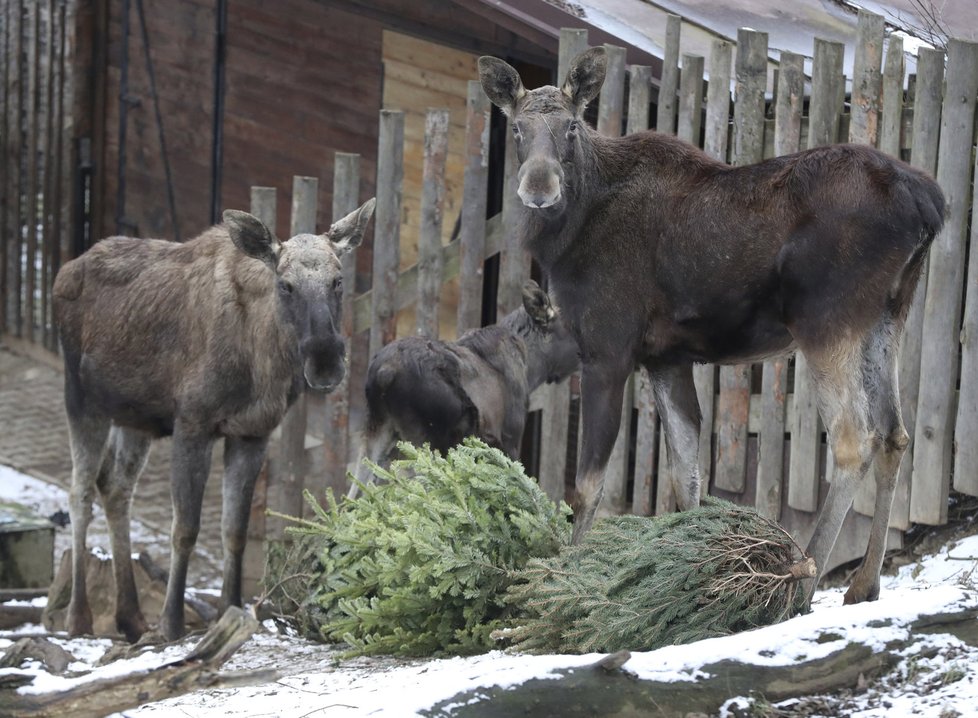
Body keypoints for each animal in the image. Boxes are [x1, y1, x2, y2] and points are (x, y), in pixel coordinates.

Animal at [52, 200, 374, 644]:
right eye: (286, 285)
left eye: (338, 281)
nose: (325, 361)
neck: (262, 364)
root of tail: (63, 273)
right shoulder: (193, 423)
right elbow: (185, 529)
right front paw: (171, 624)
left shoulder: (253, 432)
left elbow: (234, 531)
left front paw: (230, 610)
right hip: (83, 400)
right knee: (79, 493)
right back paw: (79, 617)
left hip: (135, 418)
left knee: (114, 487)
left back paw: (131, 618)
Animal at [476, 46, 940, 608]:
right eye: (517, 128)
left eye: (570, 126)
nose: (539, 189)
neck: (567, 235)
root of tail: (929, 204)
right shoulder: (665, 357)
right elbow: (686, 476)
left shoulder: (607, 350)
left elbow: (587, 487)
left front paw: (560, 585)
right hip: (887, 316)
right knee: (895, 433)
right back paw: (863, 585)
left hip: (825, 321)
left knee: (856, 438)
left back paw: (804, 582)